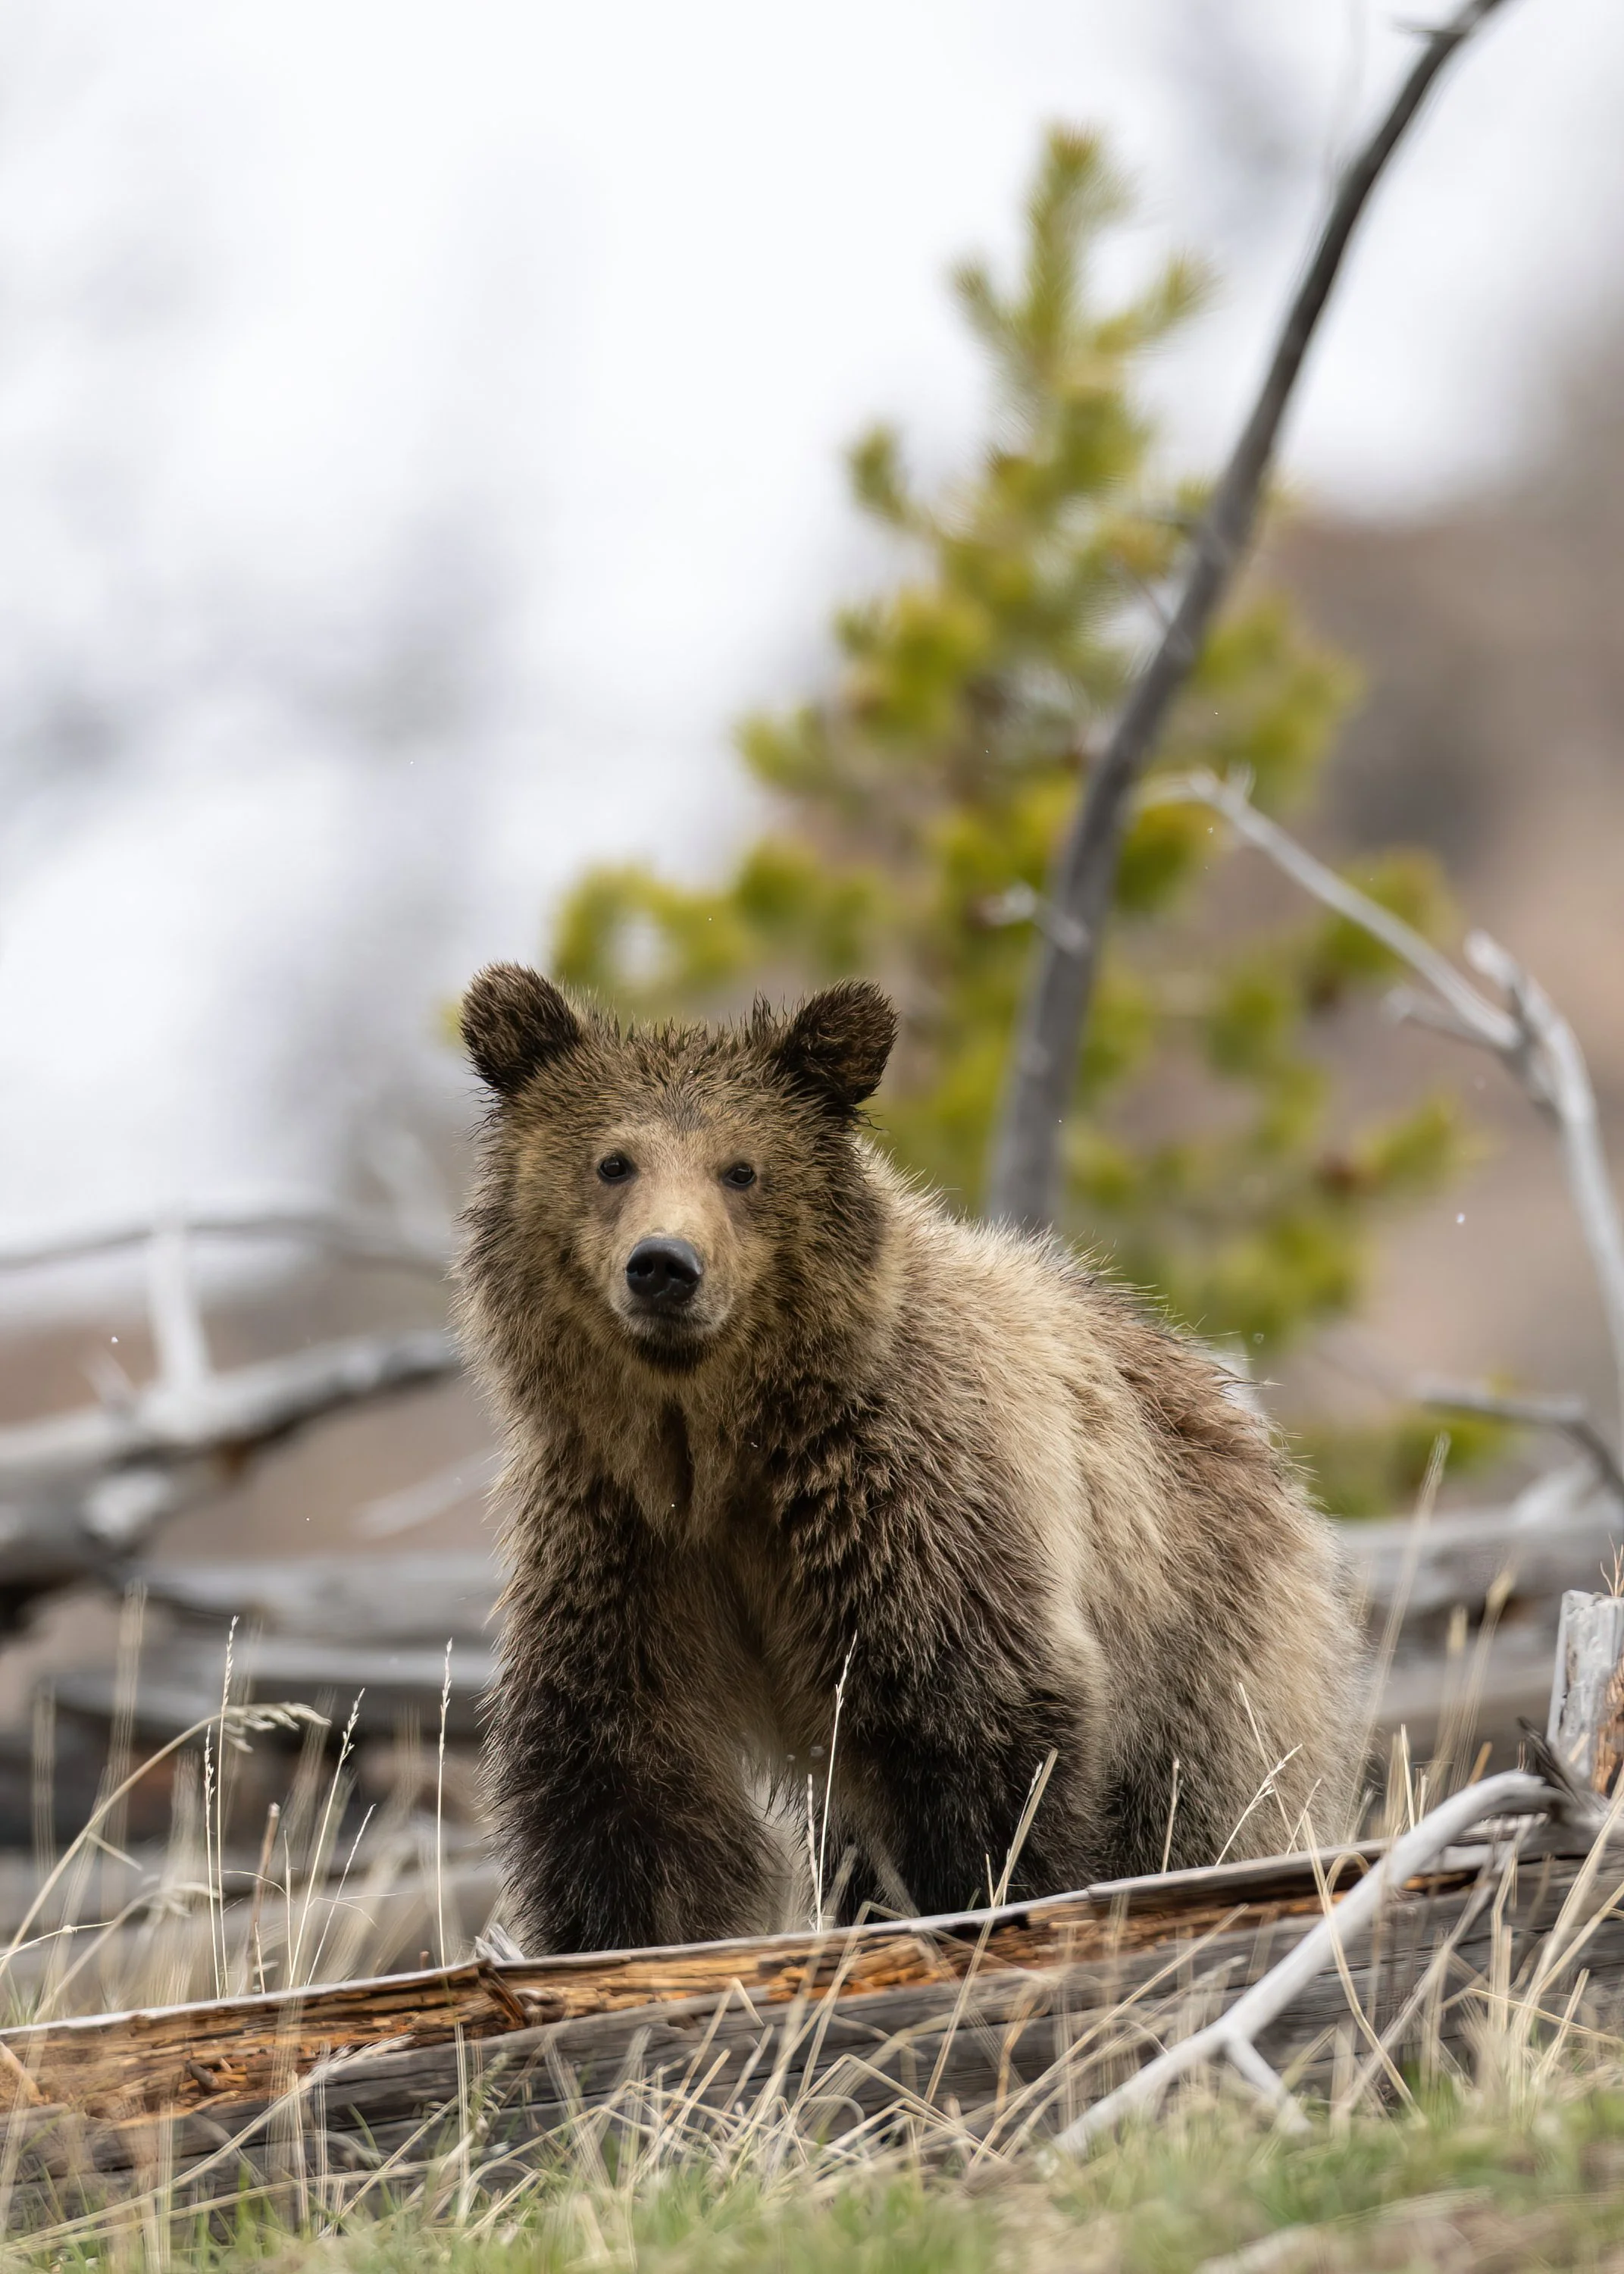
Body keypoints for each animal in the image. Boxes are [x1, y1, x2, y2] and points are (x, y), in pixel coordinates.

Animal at [456, 965, 1362, 1956]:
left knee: (1202, 1799)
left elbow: (973, 1727)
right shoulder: (624, 1536)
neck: (722, 1443)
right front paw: (625, 1940)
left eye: (743, 1168)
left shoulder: (901, 1507)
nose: (664, 1264)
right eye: (613, 1161)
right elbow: (622, 1776)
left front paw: (988, 1906)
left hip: (1199, 1625)